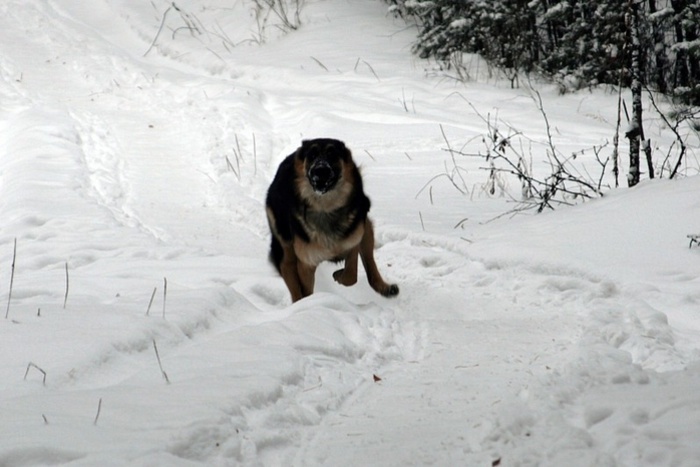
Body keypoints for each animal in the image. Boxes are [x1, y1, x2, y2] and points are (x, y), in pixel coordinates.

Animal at [266, 138, 400, 304]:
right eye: (312, 155)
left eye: (332, 154)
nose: (320, 170)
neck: (326, 208)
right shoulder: (306, 264)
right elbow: (306, 290)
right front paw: (310, 304)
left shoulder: (353, 240)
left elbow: (351, 275)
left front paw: (339, 275)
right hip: (285, 244)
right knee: (288, 272)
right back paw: (298, 303)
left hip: (366, 229)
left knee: (370, 262)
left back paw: (384, 288)